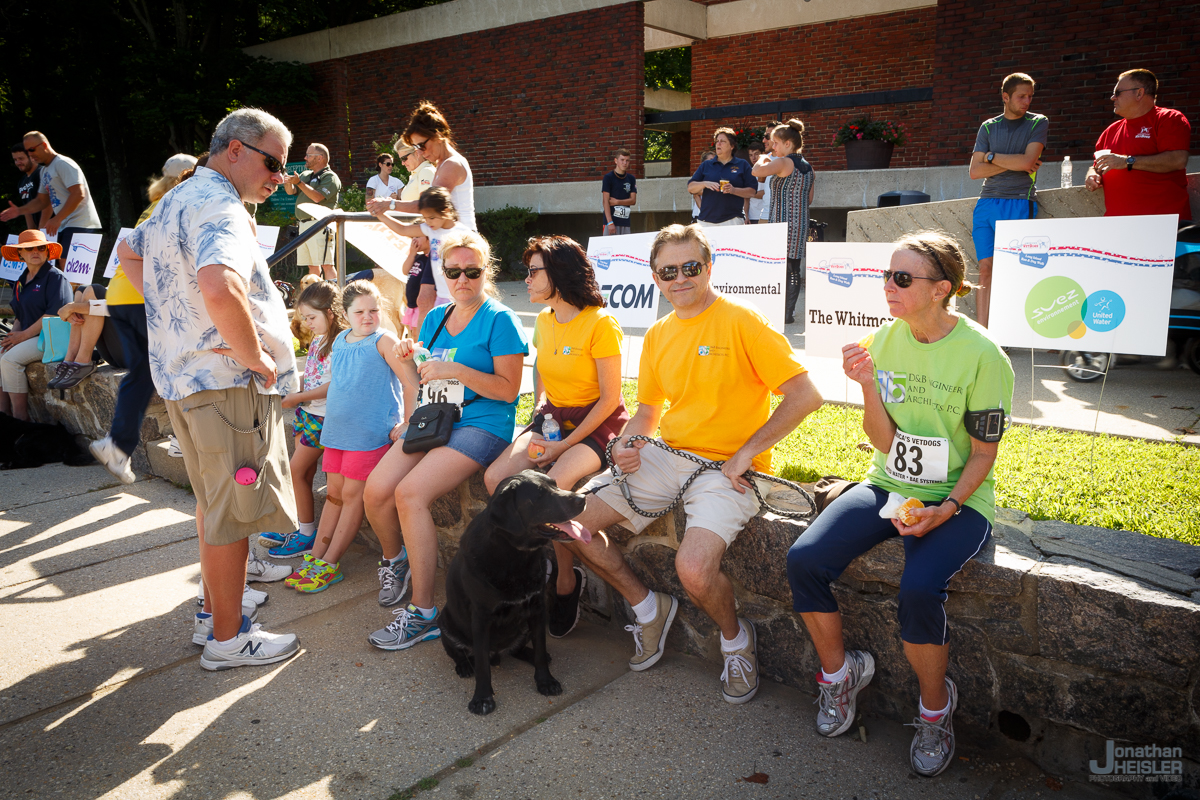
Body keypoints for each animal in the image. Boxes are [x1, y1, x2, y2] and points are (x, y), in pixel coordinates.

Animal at [441, 465, 590, 714]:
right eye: (539, 495)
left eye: (555, 483)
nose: (582, 498)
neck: (515, 555)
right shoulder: (481, 618)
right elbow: (481, 664)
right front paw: (482, 698)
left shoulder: (537, 608)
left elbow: (539, 648)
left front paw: (545, 681)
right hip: (445, 621)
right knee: (458, 652)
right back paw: (464, 665)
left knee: (522, 649)